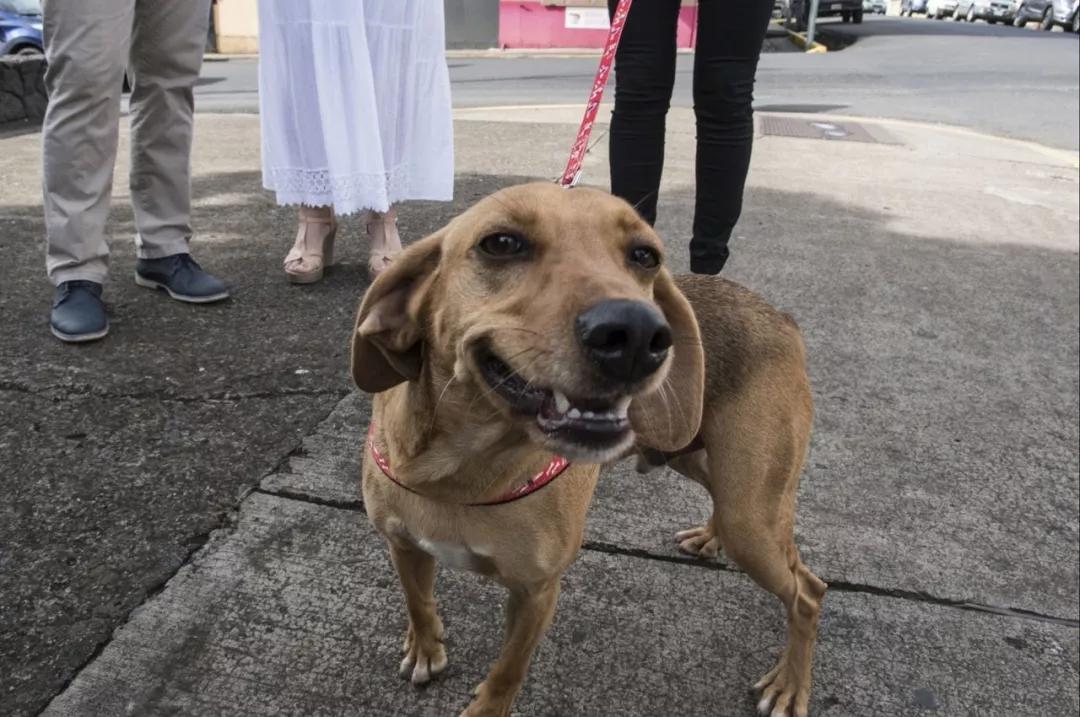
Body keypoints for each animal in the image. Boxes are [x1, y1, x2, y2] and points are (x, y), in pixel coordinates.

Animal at [352, 182, 825, 712]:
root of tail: (780, 316)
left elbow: (507, 672)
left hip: (752, 517)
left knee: (808, 590)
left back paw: (790, 685)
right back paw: (710, 535)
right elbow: (418, 602)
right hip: (694, 457)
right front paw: (425, 648)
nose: (638, 334)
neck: (460, 472)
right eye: (501, 243)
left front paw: (486, 706)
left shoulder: (537, 592)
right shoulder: (403, 545)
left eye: (644, 255)